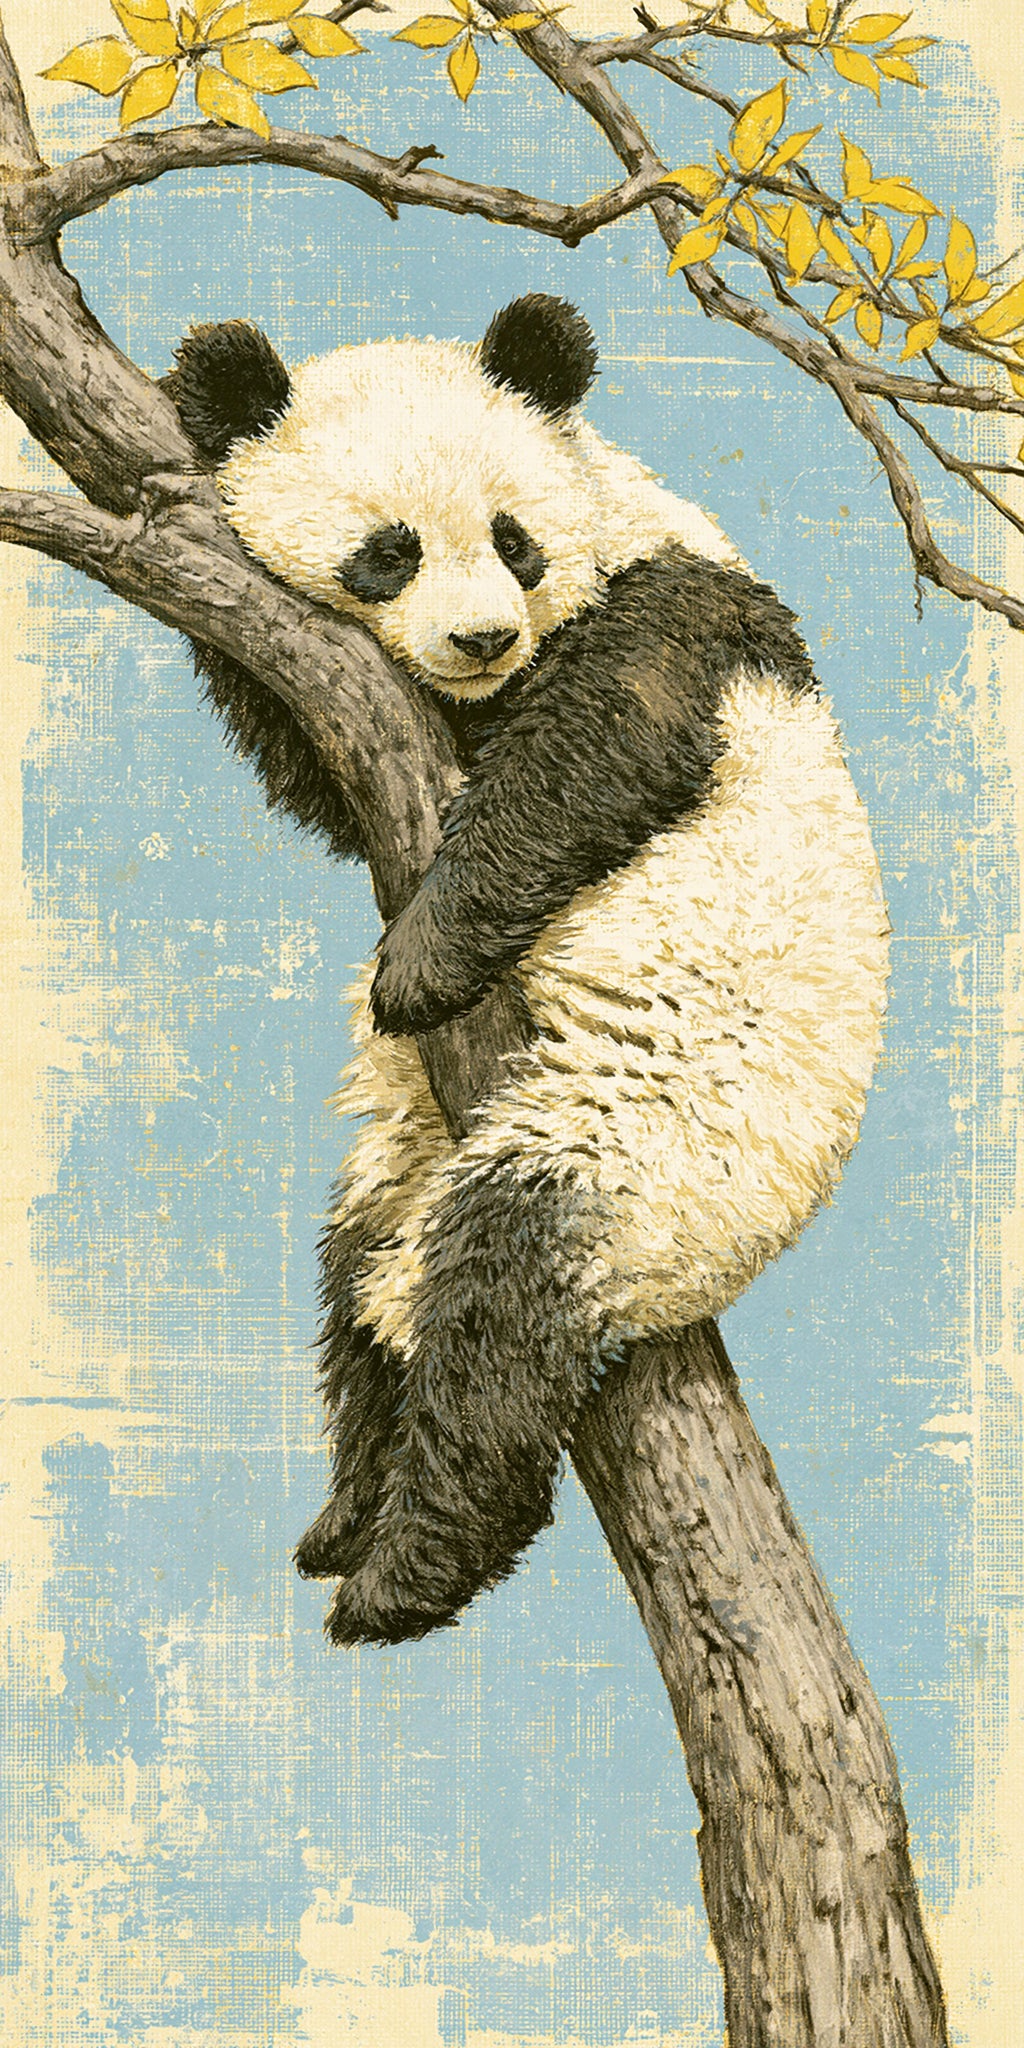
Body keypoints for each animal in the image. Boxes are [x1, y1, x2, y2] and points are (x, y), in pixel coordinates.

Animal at [163, 294, 890, 1647]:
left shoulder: (683, 617)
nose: (481, 635)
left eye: (513, 538)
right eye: (386, 550)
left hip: (650, 1131)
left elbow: (591, 750)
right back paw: (348, 1512)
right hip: (408, 1154)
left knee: (500, 1291)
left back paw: (406, 1570)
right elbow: (321, 777)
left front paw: (415, 967)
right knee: (356, 1294)